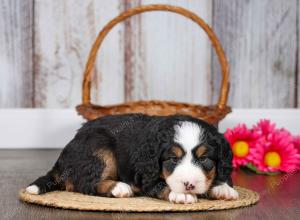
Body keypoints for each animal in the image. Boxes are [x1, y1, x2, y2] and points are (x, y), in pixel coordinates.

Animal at [27, 114, 240, 204]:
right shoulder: (146, 175)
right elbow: (161, 185)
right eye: (172, 159)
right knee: (83, 184)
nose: (189, 185)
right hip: (99, 147)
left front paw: (223, 188)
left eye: (204, 159)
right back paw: (119, 188)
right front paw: (182, 195)